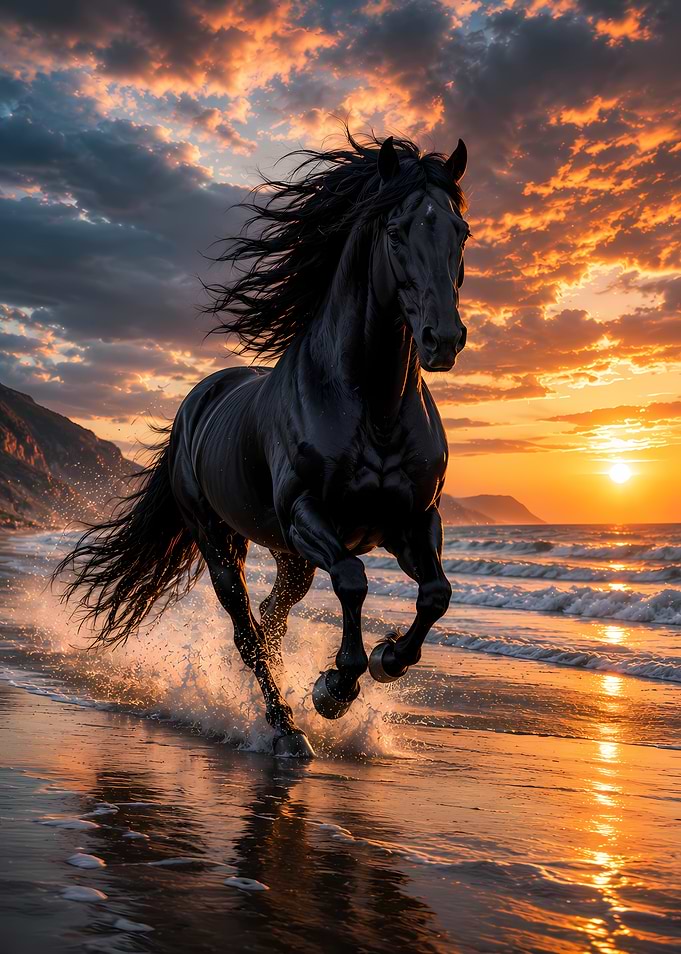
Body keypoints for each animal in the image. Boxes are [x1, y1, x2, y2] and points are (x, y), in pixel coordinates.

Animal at [54, 132, 470, 758]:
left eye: (460, 231)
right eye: (396, 231)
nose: (442, 339)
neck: (371, 403)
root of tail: (196, 403)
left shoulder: (413, 519)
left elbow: (436, 594)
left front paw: (386, 659)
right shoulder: (306, 513)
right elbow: (353, 580)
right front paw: (335, 688)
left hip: (289, 555)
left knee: (272, 619)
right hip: (223, 541)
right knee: (248, 630)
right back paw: (284, 727)